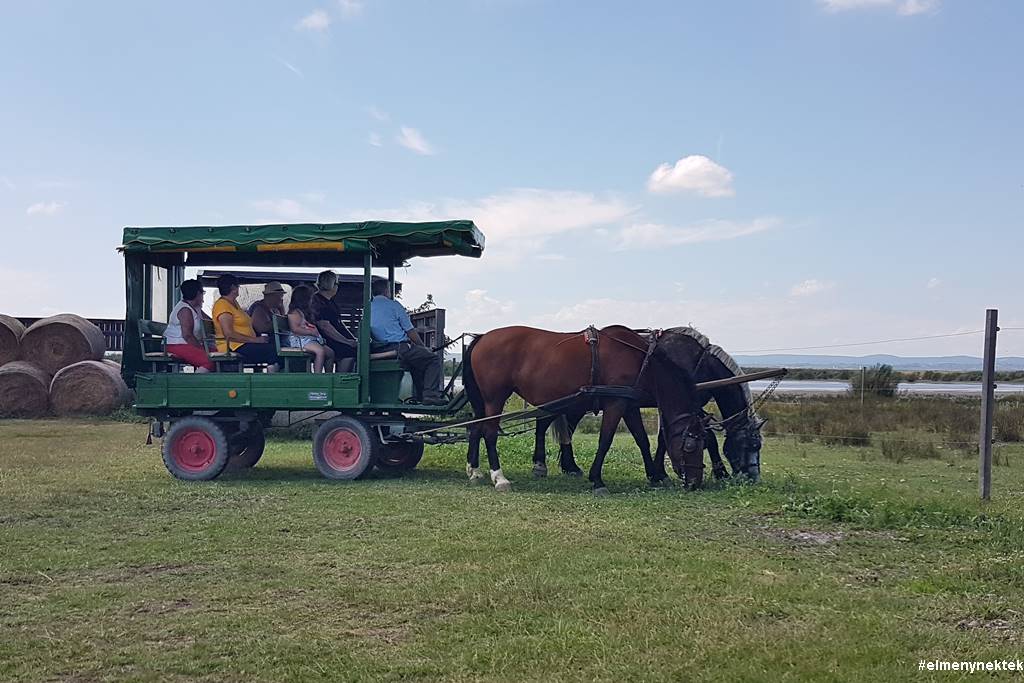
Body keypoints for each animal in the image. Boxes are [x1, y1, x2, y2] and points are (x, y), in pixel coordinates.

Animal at [462, 327, 708, 493]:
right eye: (691, 445)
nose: (695, 483)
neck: (641, 361)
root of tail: (482, 337)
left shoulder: (629, 405)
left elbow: (642, 440)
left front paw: (654, 475)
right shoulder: (615, 404)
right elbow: (605, 440)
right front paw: (597, 480)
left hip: (483, 402)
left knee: (475, 429)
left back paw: (474, 471)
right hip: (495, 398)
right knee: (489, 433)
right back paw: (499, 477)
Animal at [532, 327, 765, 483]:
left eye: (758, 446)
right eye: (751, 445)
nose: (753, 477)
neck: (698, 360)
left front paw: (658, 471)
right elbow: (703, 437)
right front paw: (719, 472)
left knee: (566, 428)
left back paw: (569, 466)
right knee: (544, 423)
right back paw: (542, 463)